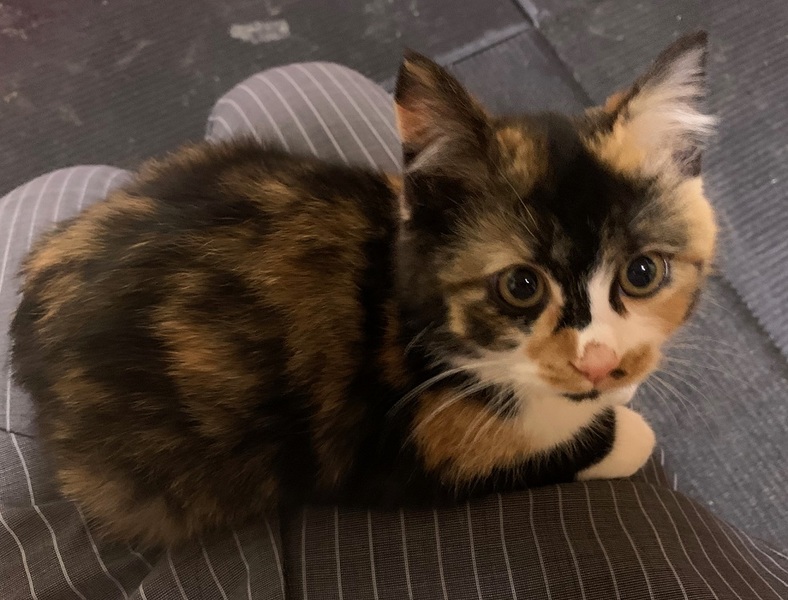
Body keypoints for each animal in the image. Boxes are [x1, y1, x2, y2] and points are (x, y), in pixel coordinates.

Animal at [10, 32, 716, 548]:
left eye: (643, 273)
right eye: (520, 286)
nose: (599, 361)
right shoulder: (406, 446)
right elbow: (550, 448)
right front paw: (625, 431)